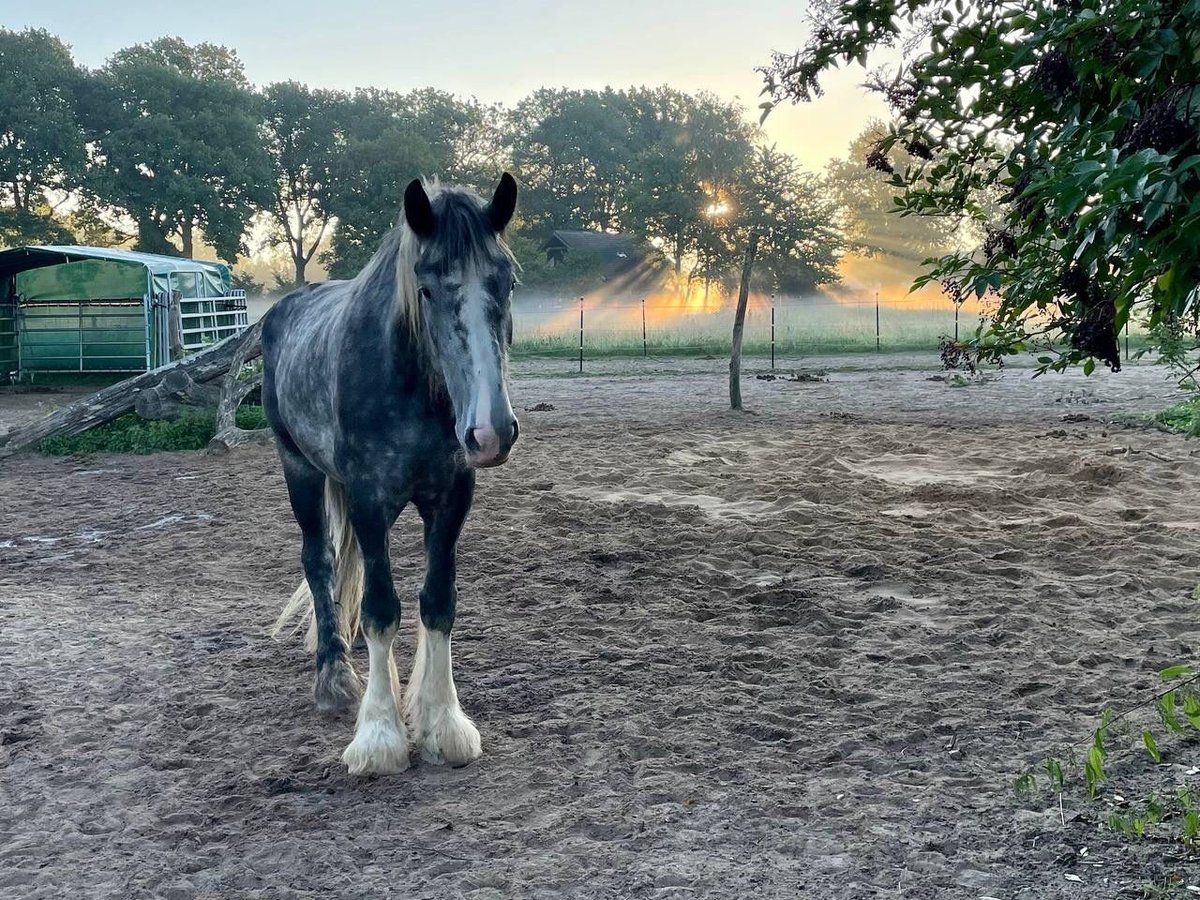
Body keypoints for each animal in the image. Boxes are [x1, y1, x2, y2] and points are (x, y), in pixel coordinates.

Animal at [261, 174, 520, 775]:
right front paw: (379, 735)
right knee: (319, 561)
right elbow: (382, 610)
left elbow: (437, 602)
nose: (490, 432)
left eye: (507, 282)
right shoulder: (369, 500)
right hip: (299, 469)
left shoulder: (451, 498)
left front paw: (443, 724)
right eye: (425, 290)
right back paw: (334, 676)